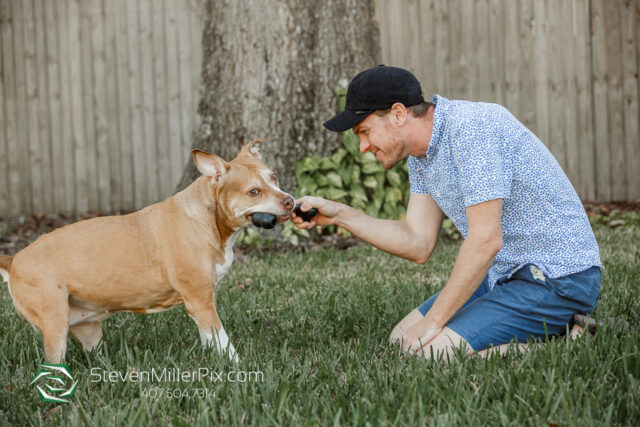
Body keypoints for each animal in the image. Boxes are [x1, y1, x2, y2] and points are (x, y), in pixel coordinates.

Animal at [0, 142, 294, 362]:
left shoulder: (203, 304)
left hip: (88, 329)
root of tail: (14, 259)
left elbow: (210, 339)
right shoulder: (200, 301)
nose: (290, 201)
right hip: (55, 325)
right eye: (253, 192)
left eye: (274, 177)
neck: (209, 219)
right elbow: (224, 343)